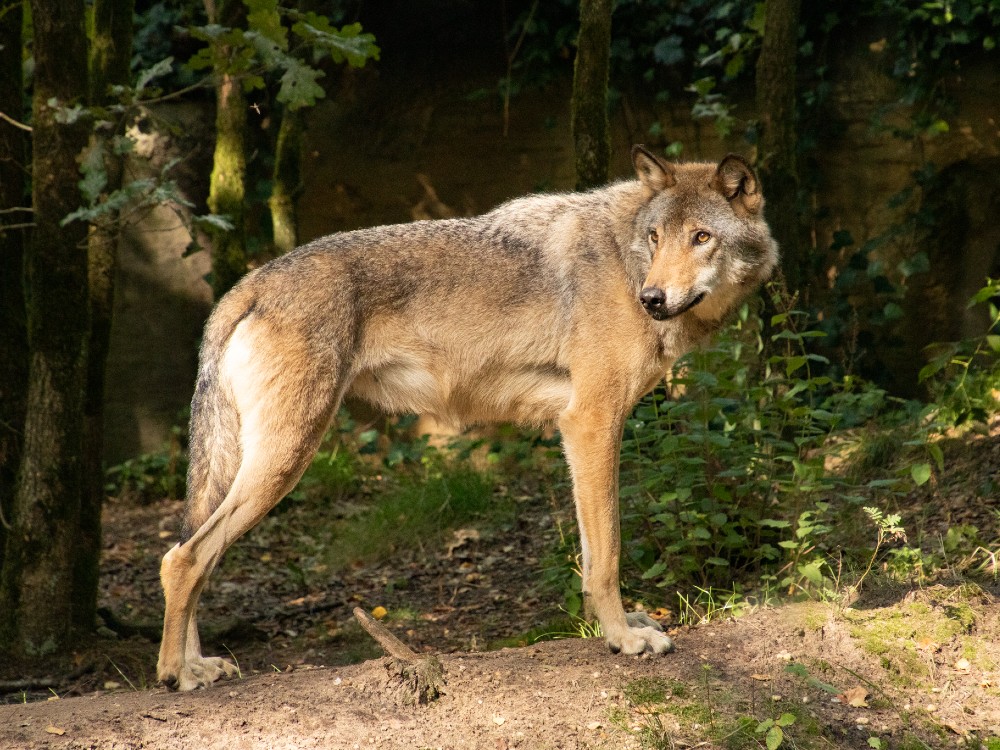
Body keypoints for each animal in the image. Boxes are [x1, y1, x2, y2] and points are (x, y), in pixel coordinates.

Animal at [158, 144, 780, 692]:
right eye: (655, 238)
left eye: (701, 237)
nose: (652, 298)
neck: (625, 259)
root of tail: (245, 286)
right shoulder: (591, 421)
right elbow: (607, 554)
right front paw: (624, 640)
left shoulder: (582, 431)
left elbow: (589, 555)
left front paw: (618, 629)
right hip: (287, 459)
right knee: (183, 557)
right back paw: (177, 675)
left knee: (193, 555)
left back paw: (198, 664)